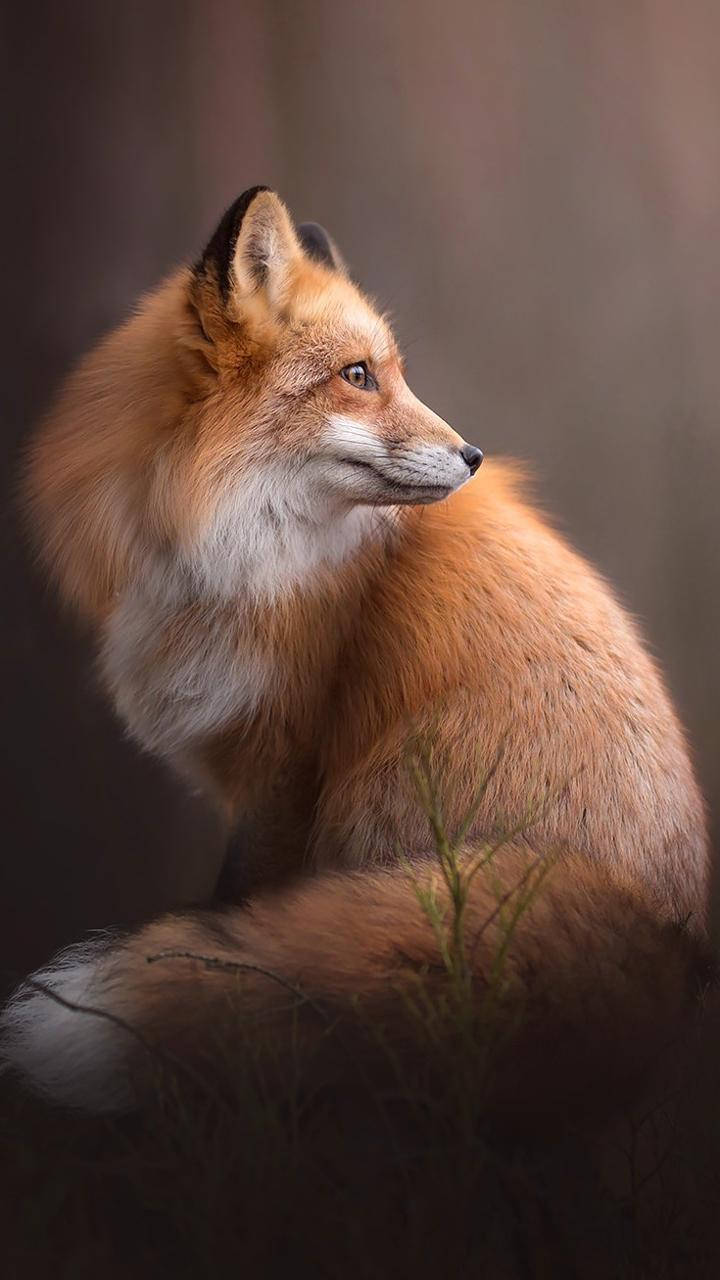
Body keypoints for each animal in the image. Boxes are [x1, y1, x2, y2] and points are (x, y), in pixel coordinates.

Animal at [0, 186, 712, 1119]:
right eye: (358, 375)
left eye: (391, 372)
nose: (474, 456)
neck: (223, 551)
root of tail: (673, 938)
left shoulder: (289, 761)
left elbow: (242, 901)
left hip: (388, 791)